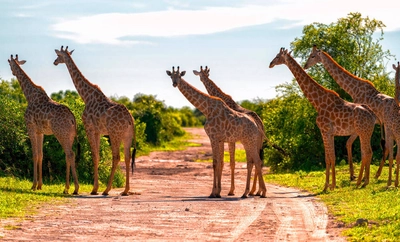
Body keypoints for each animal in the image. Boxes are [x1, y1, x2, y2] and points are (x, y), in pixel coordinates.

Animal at [7, 54, 79, 194]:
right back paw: (67, 188)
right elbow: (41, 155)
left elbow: (34, 155)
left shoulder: (30, 127)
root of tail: (72, 118)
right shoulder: (40, 132)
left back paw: (73, 188)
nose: (13, 72)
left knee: (70, 154)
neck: (29, 96)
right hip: (70, 135)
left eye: (10, 65)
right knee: (69, 155)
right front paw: (40, 185)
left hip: (61, 133)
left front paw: (34, 185)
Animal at [53, 45, 136, 197]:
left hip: (114, 134)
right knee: (127, 157)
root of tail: (130, 120)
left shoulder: (89, 128)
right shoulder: (98, 131)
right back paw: (125, 190)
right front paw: (95, 187)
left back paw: (106, 190)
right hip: (127, 135)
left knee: (116, 156)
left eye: (59, 55)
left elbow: (94, 156)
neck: (86, 96)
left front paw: (94, 189)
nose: (55, 62)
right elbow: (97, 155)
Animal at [166, 66, 266, 199]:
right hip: (249, 143)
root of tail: (258, 125)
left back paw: (258, 192)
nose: (175, 83)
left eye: (179, 76)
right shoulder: (219, 139)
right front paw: (218, 192)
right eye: (171, 76)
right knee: (254, 162)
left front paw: (214, 192)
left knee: (256, 161)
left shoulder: (213, 137)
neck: (206, 109)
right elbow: (219, 163)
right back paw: (252, 192)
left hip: (250, 142)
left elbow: (215, 163)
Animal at [268, 47, 378, 191]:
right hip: (366, 132)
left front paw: (327, 186)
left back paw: (361, 182)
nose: (270, 64)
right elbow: (331, 157)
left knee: (367, 152)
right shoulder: (330, 133)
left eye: (277, 56)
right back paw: (364, 181)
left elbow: (328, 158)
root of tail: (373, 115)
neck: (317, 103)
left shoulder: (324, 131)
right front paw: (332, 185)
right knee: (367, 152)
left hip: (363, 132)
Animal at [304, 45, 398, 187]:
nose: (305, 66)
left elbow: (357, 147)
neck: (353, 89)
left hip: (387, 125)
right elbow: (349, 143)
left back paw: (380, 176)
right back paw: (381, 176)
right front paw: (353, 175)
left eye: (313, 56)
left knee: (387, 146)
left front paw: (359, 177)